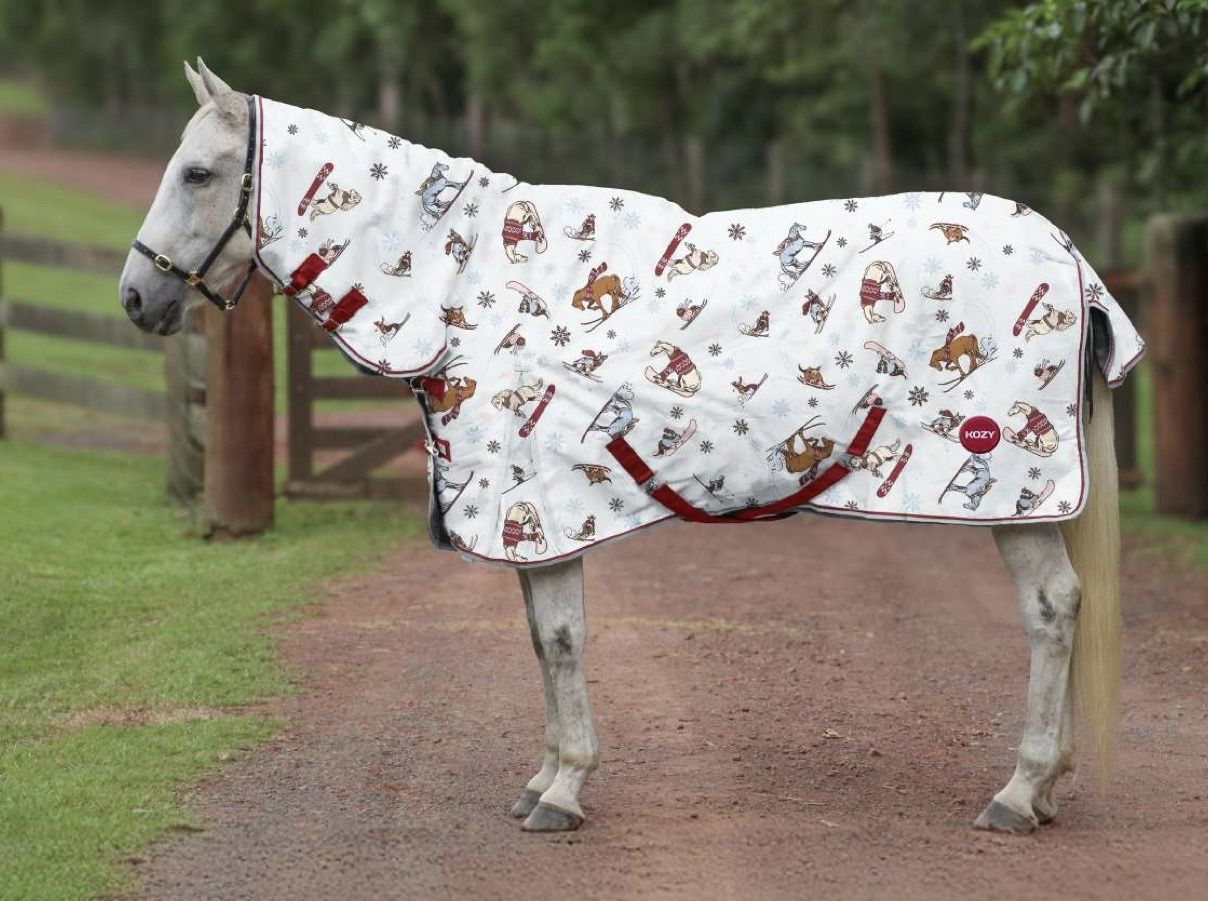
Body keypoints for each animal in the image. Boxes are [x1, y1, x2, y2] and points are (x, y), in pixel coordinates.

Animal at [118, 61, 1125, 837]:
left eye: (199, 173)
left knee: (1053, 609)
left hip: (1019, 496)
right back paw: (1046, 789)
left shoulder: (542, 503)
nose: (136, 297)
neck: (469, 283)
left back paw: (1020, 791)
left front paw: (564, 790)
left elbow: (562, 638)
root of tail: (1068, 256)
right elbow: (539, 639)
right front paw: (543, 775)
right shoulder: (529, 518)